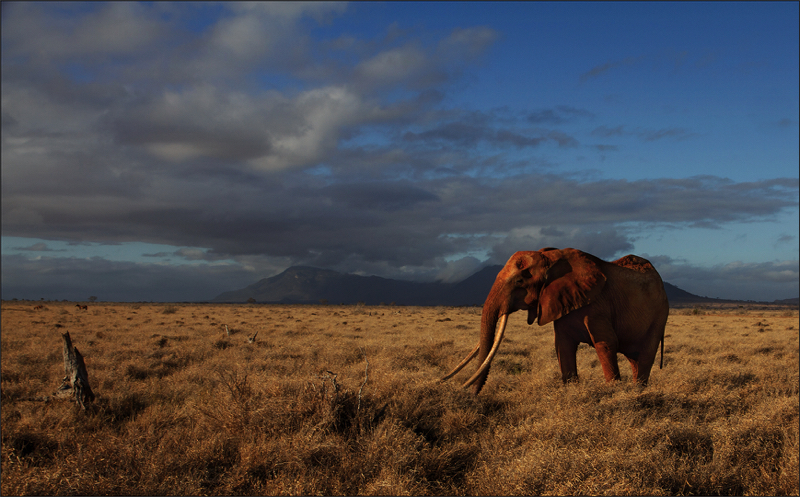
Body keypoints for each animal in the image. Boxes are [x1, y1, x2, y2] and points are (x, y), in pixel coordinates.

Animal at [442, 247, 669, 395]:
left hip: (660, 314)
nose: (471, 395)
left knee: (645, 355)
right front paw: (571, 390)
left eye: (519, 282)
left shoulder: (598, 305)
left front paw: (614, 393)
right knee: (634, 359)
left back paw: (638, 392)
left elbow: (606, 343)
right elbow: (563, 346)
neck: (551, 257)